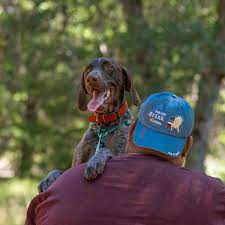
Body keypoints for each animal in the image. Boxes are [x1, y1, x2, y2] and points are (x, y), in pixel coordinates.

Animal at [39, 57, 141, 192]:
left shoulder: (123, 155)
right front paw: (49, 177)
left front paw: (95, 161)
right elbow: (59, 171)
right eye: (88, 69)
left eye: (109, 67)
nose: (91, 78)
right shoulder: (75, 164)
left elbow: (104, 149)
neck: (104, 126)